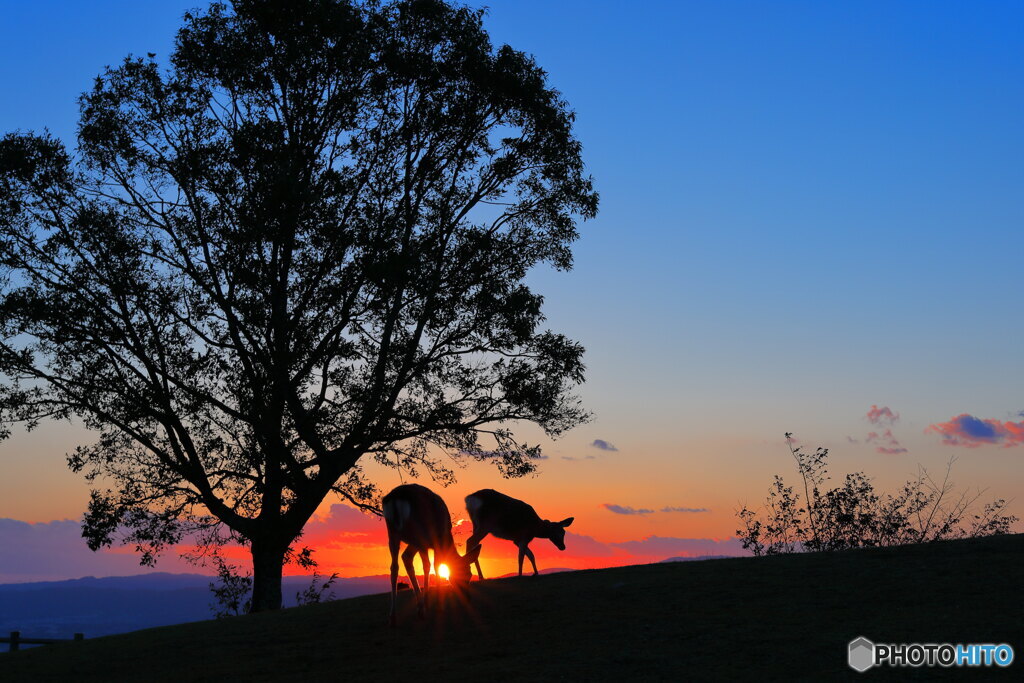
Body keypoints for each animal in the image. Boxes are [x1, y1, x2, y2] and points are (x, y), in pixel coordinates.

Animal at [382, 481, 481, 626]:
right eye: (468, 574)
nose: (467, 597)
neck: (447, 540)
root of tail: (397, 497)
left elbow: (415, 561)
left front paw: (426, 604)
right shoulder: (434, 543)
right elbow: (436, 566)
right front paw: (437, 605)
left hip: (394, 532)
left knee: (397, 564)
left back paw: (394, 616)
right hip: (419, 533)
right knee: (421, 563)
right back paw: (421, 610)